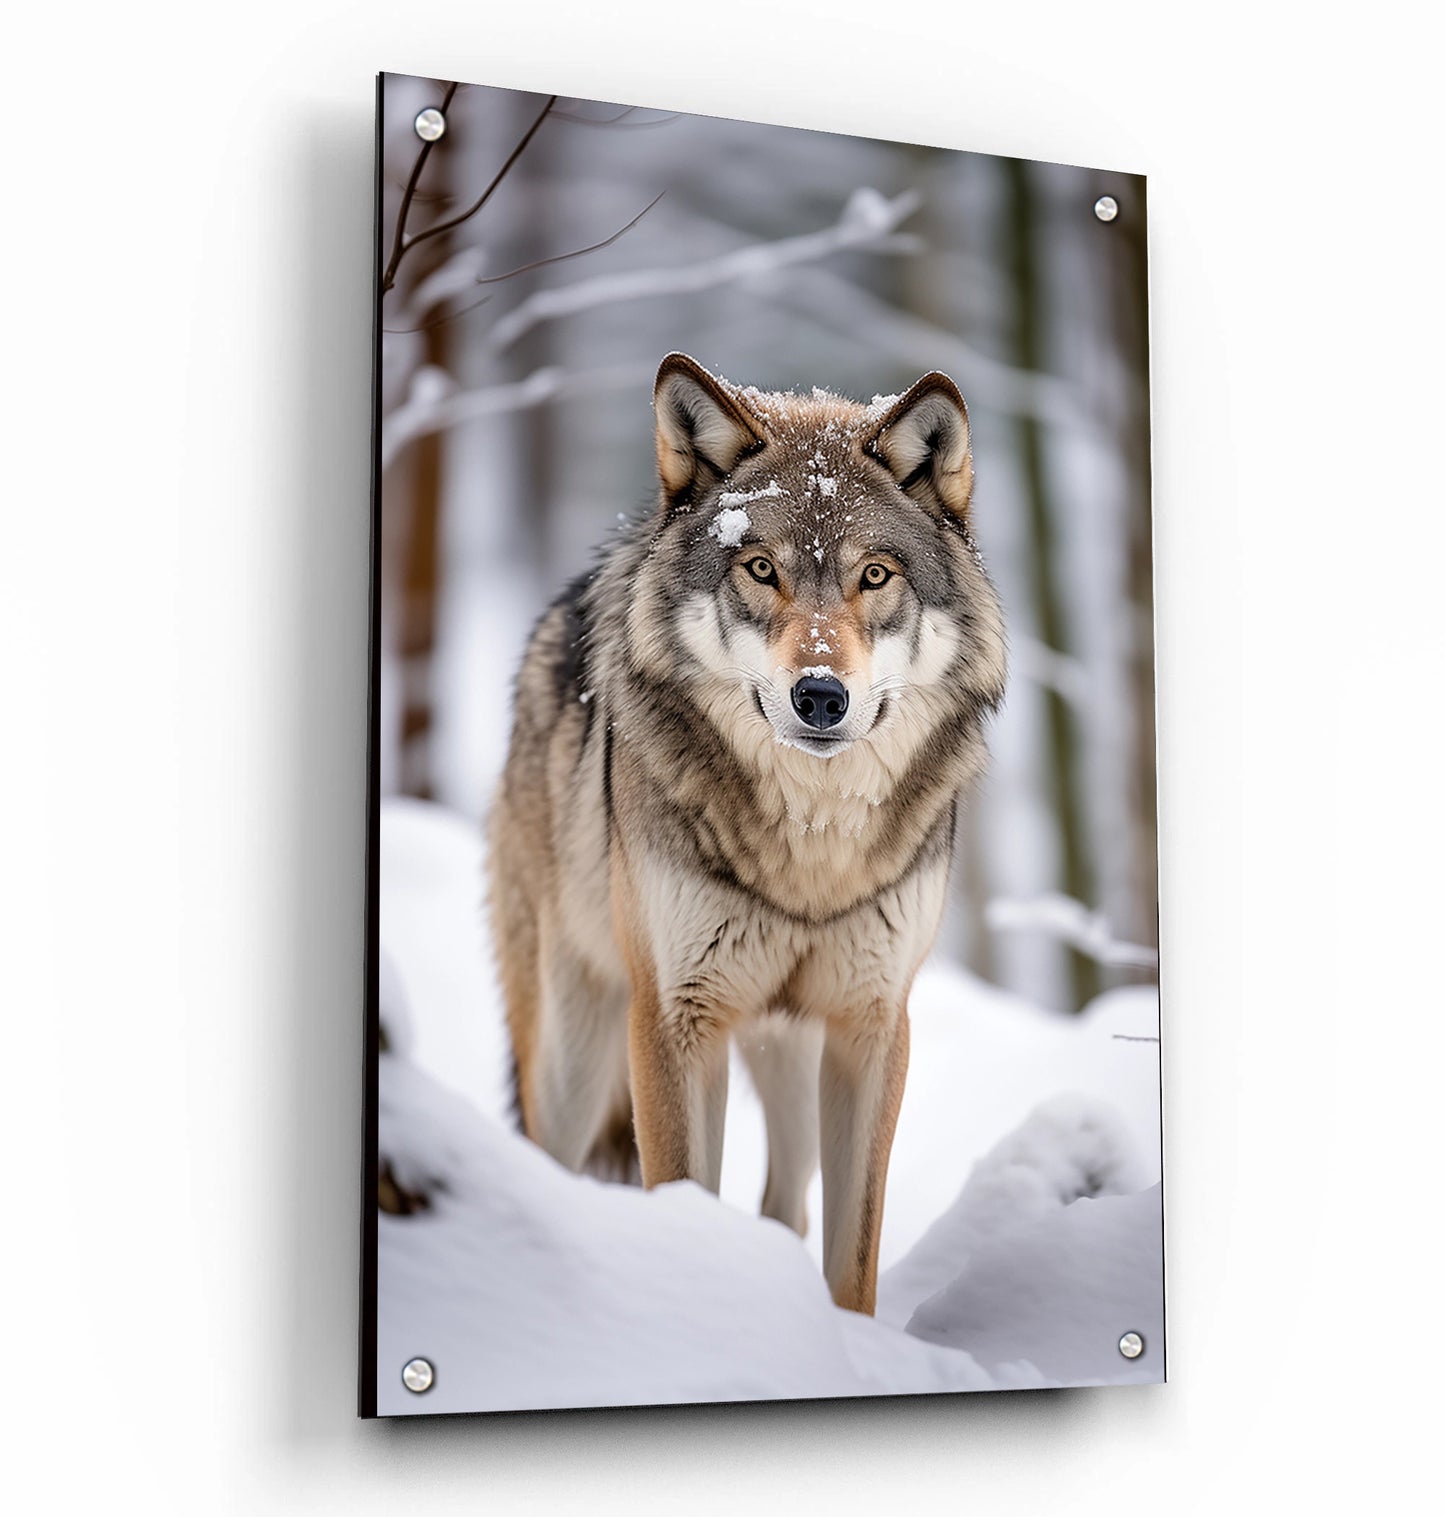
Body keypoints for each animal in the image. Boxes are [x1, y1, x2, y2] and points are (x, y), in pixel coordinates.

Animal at [489, 354, 1006, 1314]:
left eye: (873, 576)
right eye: (760, 568)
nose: (820, 695)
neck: (811, 851)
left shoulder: (871, 1025)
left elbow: (852, 1253)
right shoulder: (674, 1017)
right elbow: (681, 1195)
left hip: (786, 1050)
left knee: (784, 1205)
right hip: (573, 1056)